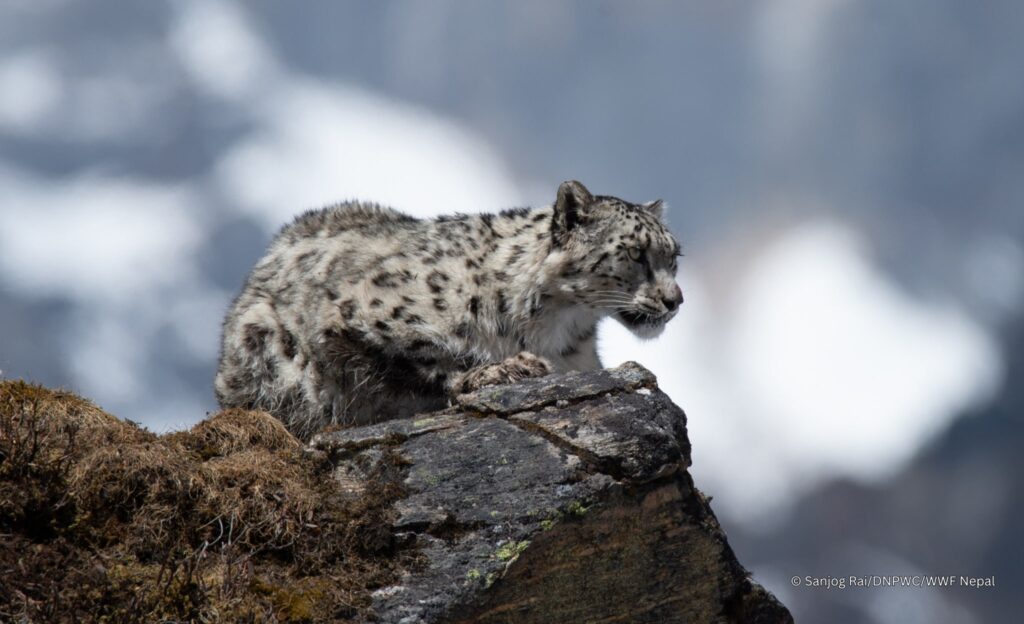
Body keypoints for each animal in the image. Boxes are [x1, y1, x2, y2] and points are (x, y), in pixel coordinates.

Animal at [215, 180, 683, 439]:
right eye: (636, 252)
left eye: (674, 256)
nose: (675, 300)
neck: (561, 329)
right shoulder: (362, 310)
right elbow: (433, 356)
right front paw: (506, 368)